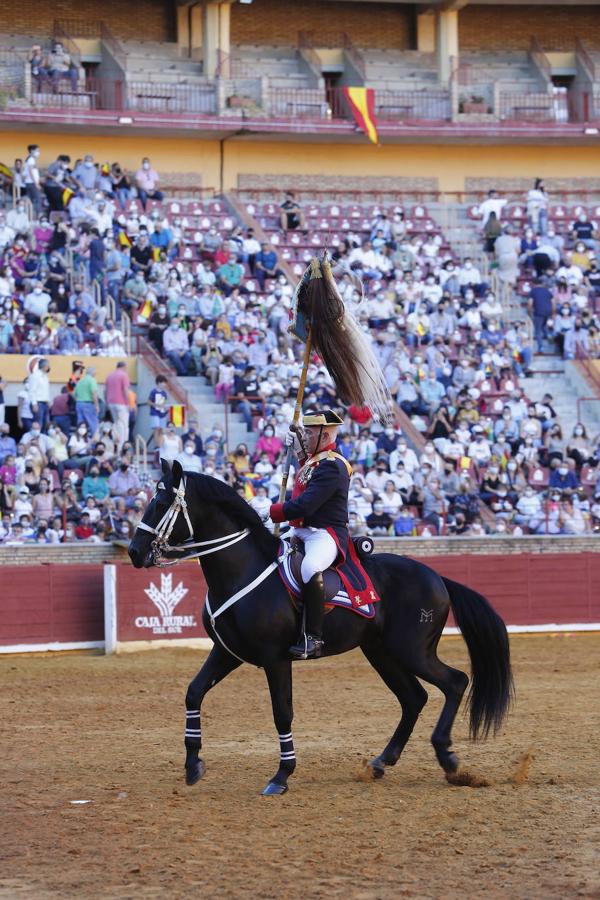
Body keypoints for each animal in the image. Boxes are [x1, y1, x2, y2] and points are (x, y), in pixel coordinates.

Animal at [129, 464, 512, 796]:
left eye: (160, 503)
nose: (133, 552)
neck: (241, 570)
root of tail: (437, 577)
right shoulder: (226, 652)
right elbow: (194, 693)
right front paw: (193, 764)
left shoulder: (275, 659)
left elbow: (282, 712)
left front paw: (281, 776)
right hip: (381, 653)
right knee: (414, 698)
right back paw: (381, 762)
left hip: (412, 651)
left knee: (455, 682)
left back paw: (447, 758)